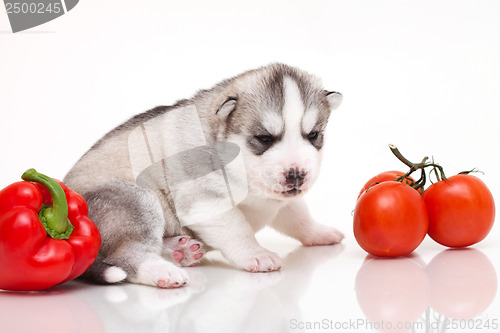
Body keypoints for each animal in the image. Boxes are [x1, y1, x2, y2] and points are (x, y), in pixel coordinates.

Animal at [63, 63, 344, 286]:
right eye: (264, 138)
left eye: (313, 135)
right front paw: (256, 254)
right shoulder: (205, 203)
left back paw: (178, 251)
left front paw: (320, 233)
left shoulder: (281, 201)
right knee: (127, 255)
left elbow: (298, 216)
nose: (296, 175)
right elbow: (238, 229)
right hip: (135, 200)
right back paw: (163, 271)